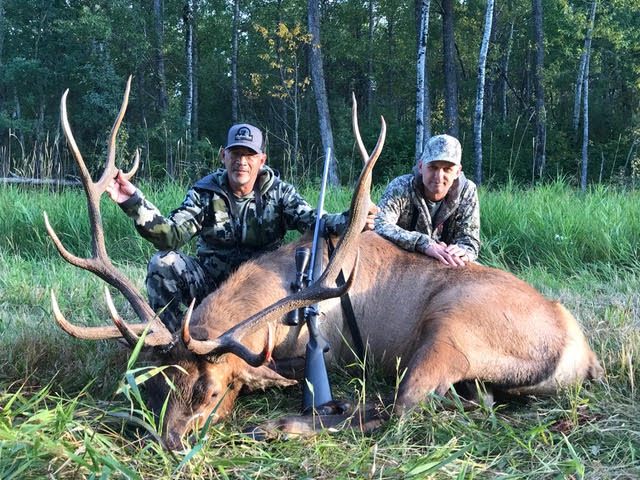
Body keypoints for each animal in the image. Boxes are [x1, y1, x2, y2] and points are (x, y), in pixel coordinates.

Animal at [45, 77, 603, 450]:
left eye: (212, 391)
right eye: (161, 385)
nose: (170, 443)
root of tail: (585, 355)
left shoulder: (328, 357)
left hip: (451, 329)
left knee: (408, 408)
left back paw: (286, 424)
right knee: (471, 404)